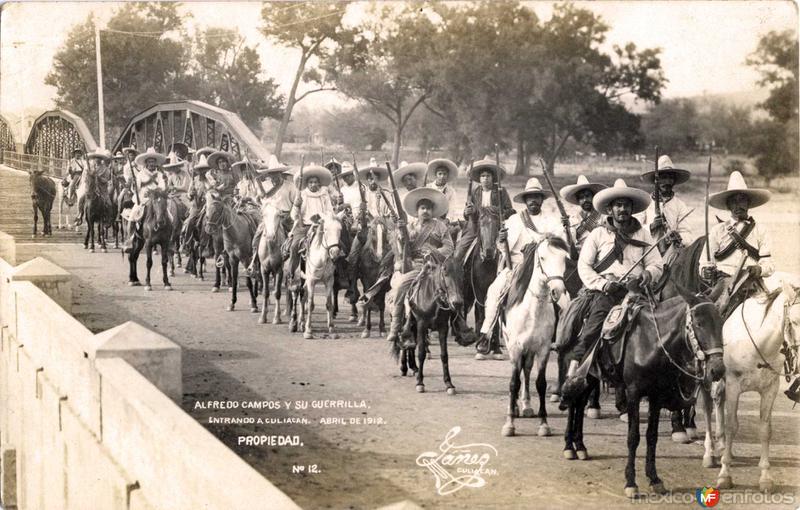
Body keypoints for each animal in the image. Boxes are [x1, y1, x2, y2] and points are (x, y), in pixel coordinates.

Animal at [392, 258, 472, 394]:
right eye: (445, 272)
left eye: (462, 273)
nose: (457, 303)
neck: (433, 301)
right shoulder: (421, 325)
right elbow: (421, 353)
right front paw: (420, 383)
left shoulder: (443, 327)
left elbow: (444, 355)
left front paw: (449, 384)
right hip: (407, 321)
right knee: (405, 343)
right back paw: (404, 367)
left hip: (414, 326)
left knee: (411, 345)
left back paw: (414, 367)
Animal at [462, 207, 500, 358]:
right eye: (481, 225)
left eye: (497, 225)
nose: (489, 251)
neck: (487, 264)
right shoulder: (479, 290)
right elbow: (483, 313)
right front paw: (482, 348)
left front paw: (496, 348)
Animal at [500, 235, 568, 438]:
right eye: (543, 258)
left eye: (564, 259)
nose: (557, 291)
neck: (532, 312)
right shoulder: (515, 348)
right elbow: (513, 383)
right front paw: (509, 424)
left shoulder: (543, 349)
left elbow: (541, 383)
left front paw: (543, 424)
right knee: (519, 373)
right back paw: (515, 407)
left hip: (530, 350)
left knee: (527, 370)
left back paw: (527, 406)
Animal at [560, 286, 728, 498]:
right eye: (698, 323)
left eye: (721, 323)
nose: (718, 370)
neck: (650, 341)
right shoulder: (633, 393)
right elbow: (633, 438)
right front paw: (631, 483)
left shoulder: (655, 395)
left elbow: (652, 437)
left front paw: (654, 479)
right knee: (573, 403)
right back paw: (569, 447)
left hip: (591, 375)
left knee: (580, 403)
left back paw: (580, 446)